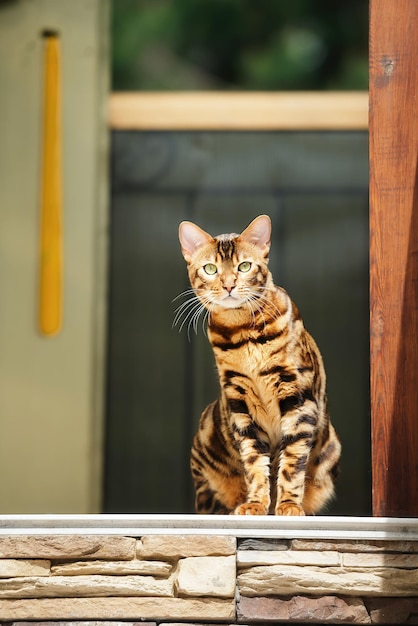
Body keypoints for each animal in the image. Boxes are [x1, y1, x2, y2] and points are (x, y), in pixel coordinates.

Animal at [176, 212, 340, 516]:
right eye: (210, 269)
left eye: (244, 266)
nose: (228, 285)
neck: (242, 334)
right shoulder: (239, 401)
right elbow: (253, 461)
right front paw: (254, 503)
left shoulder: (298, 397)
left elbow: (292, 463)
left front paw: (288, 505)